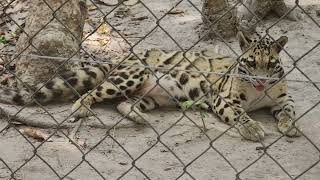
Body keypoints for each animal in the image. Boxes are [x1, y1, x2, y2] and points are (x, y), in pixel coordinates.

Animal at [0, 32, 300, 142]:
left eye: (270, 64)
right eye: (250, 62)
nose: (261, 81)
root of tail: (124, 57)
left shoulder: (284, 98)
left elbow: (289, 110)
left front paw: (290, 126)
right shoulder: (223, 98)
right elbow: (240, 113)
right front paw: (253, 128)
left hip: (153, 96)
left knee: (124, 104)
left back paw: (138, 116)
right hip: (133, 76)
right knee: (91, 92)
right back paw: (81, 108)